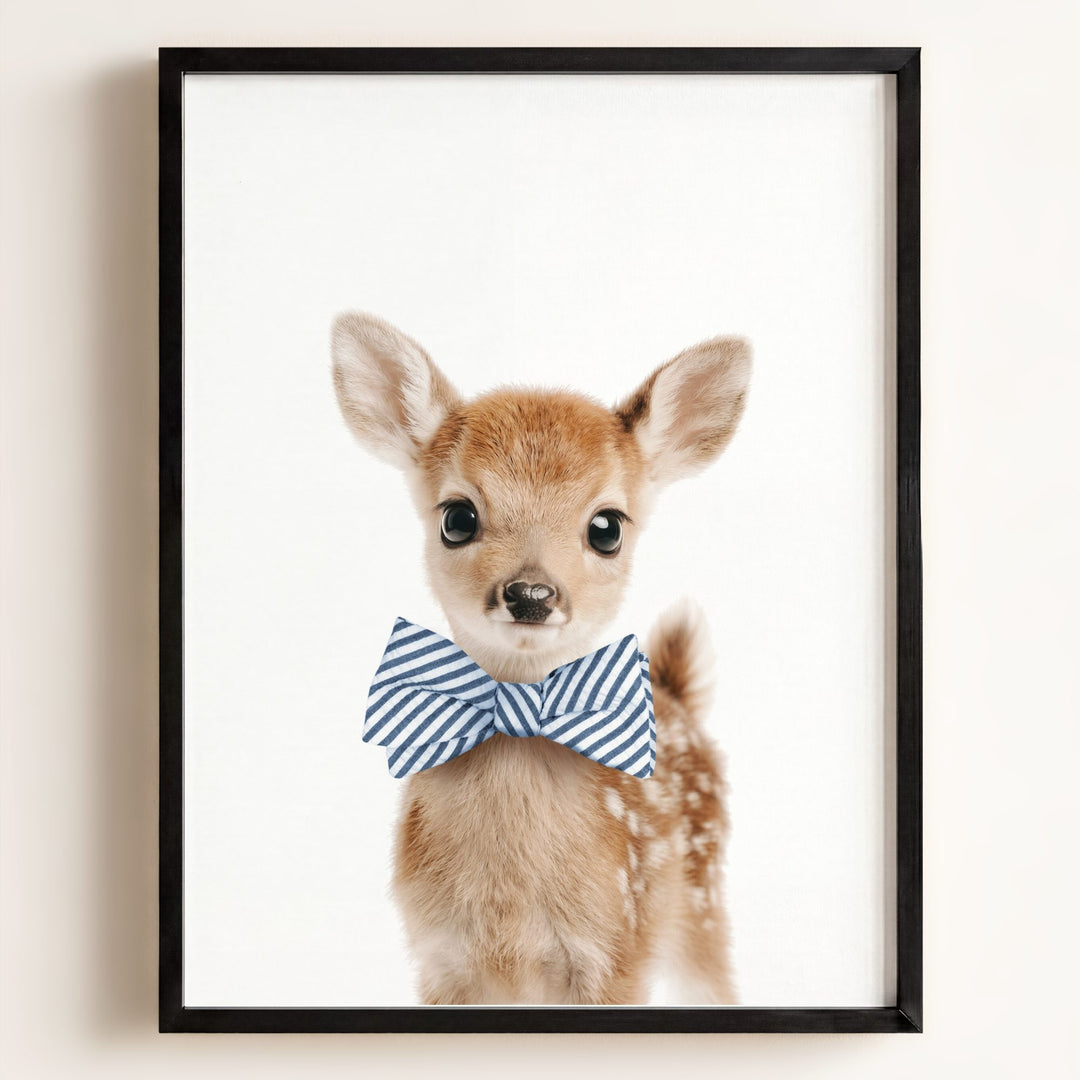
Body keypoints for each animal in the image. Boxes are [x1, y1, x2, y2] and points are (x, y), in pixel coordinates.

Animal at [331, 312, 751, 1005]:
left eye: (607, 527)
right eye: (457, 517)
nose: (531, 594)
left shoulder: (616, 952)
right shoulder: (439, 960)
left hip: (703, 905)